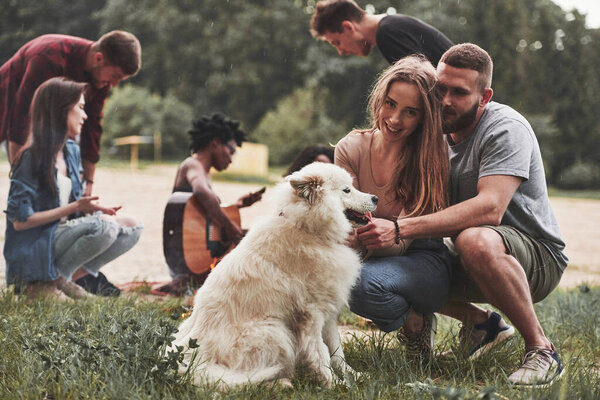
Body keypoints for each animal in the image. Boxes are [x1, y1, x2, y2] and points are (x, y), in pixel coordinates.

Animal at [168, 162, 376, 388]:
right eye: (347, 190)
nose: (376, 198)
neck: (308, 229)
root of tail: (191, 362)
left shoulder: (328, 311)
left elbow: (337, 351)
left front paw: (353, 377)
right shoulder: (312, 313)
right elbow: (321, 352)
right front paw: (333, 384)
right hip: (275, 332)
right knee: (242, 378)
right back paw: (281, 383)